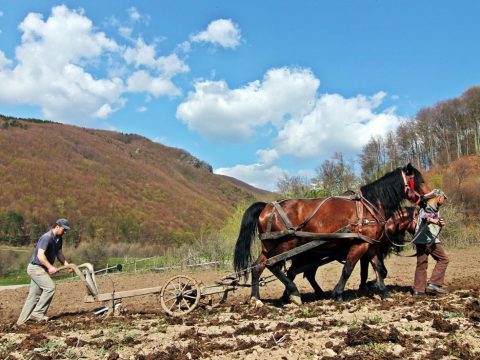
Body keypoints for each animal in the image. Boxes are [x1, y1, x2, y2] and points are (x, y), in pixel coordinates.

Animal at [284, 205, 418, 300]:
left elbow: (379, 270)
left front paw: (371, 286)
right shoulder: (365, 250)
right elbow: (367, 272)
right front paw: (367, 286)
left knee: (301, 274)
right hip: (307, 257)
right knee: (295, 273)